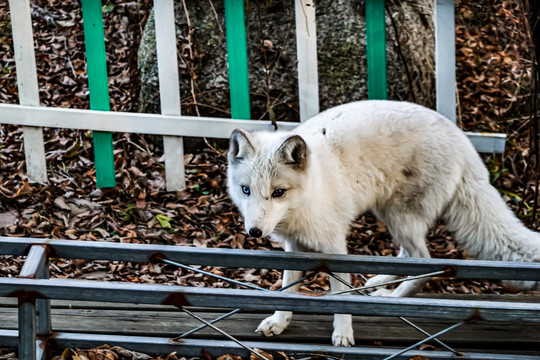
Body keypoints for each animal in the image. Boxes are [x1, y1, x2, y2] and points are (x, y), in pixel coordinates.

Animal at [226, 100, 536, 346]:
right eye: (246, 190)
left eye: (278, 192)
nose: (254, 232)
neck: (309, 195)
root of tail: (463, 140)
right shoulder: (295, 247)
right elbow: (288, 289)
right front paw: (279, 321)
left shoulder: (335, 247)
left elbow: (338, 296)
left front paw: (343, 334)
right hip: (391, 216)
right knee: (408, 255)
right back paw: (380, 283)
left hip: (400, 218)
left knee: (424, 262)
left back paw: (393, 299)